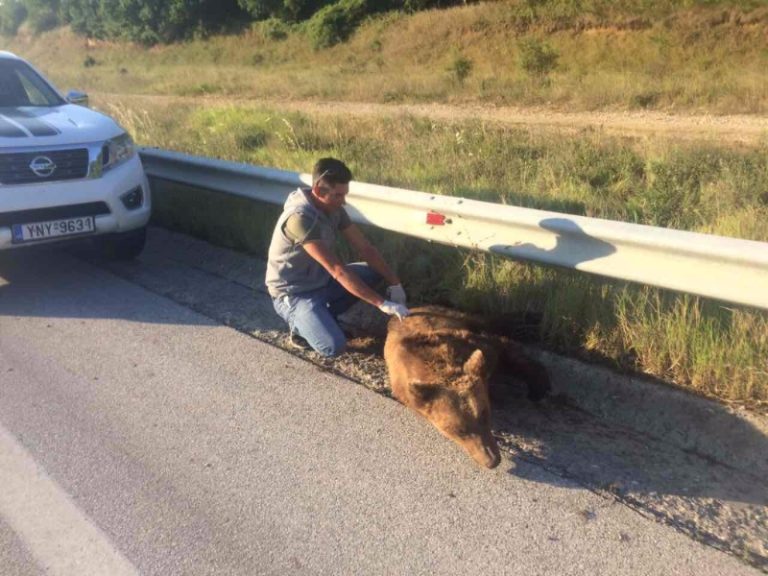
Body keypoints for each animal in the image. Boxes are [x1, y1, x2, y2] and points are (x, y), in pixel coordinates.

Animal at [388, 306, 548, 468]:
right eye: (460, 431)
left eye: (484, 414)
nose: (492, 461)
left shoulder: (473, 346)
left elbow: (503, 352)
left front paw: (538, 388)